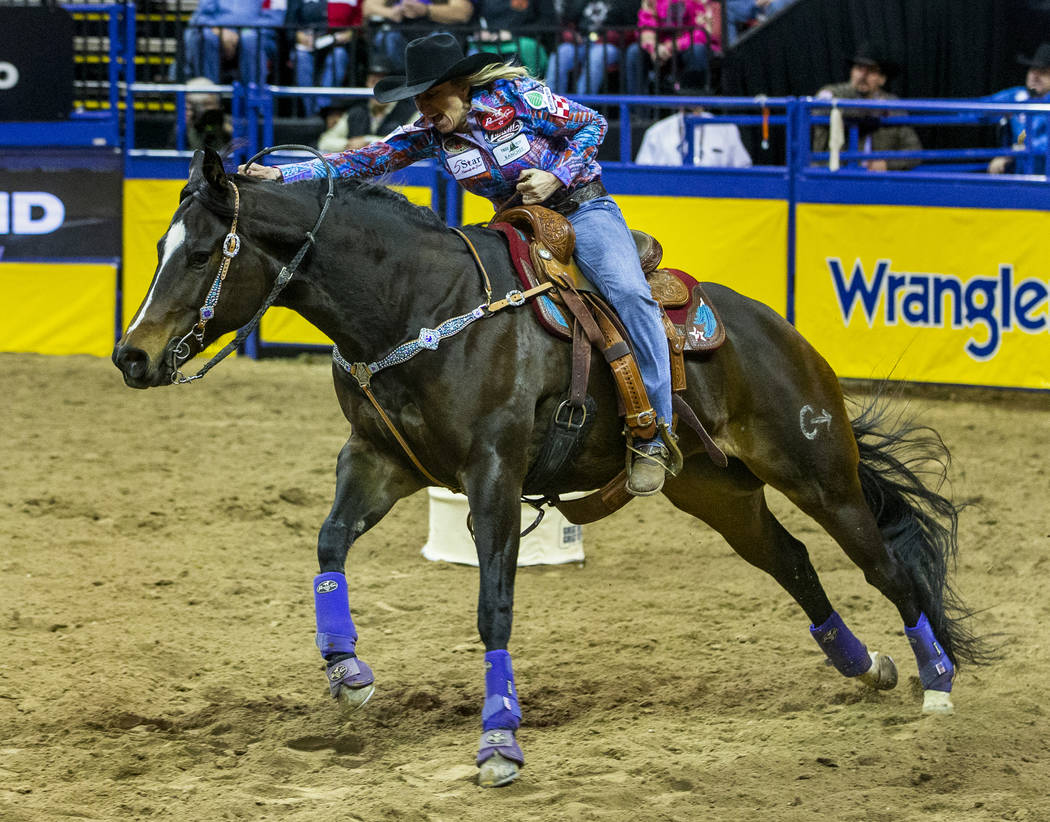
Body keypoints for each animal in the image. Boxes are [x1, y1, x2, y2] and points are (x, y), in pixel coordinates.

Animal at [112, 149, 982, 789]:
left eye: (200, 253)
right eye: (158, 248)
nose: (132, 355)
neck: (419, 303)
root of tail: (787, 335)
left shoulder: (493, 475)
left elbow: (493, 608)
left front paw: (499, 741)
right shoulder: (379, 459)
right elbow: (329, 545)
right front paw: (347, 669)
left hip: (818, 473)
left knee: (885, 564)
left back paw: (937, 680)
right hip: (718, 490)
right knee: (793, 560)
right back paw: (865, 666)